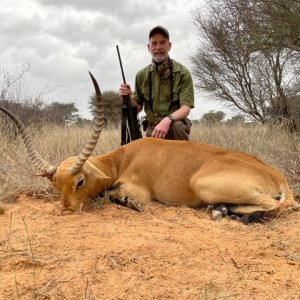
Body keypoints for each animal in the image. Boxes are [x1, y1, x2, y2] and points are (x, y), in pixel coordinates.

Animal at [0, 72, 296, 223]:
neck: (124, 159)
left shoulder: (138, 191)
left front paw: (130, 204)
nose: (68, 210)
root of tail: (277, 175)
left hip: (206, 185)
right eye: (55, 185)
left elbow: (116, 196)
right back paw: (221, 210)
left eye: (80, 181)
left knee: (281, 205)